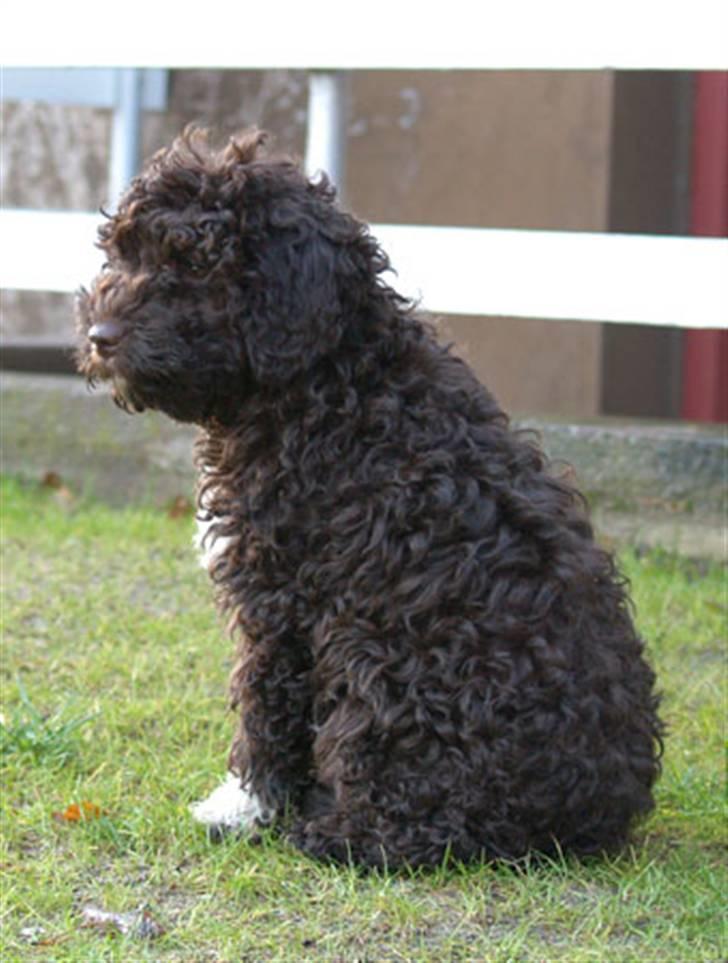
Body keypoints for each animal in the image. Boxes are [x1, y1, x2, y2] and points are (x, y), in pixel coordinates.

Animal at [75, 128, 664, 872]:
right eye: (123, 254)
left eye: (197, 263)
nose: (101, 337)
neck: (328, 384)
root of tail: (595, 812)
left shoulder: (280, 602)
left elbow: (264, 706)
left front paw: (244, 807)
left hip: (385, 666)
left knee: (427, 823)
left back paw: (335, 831)